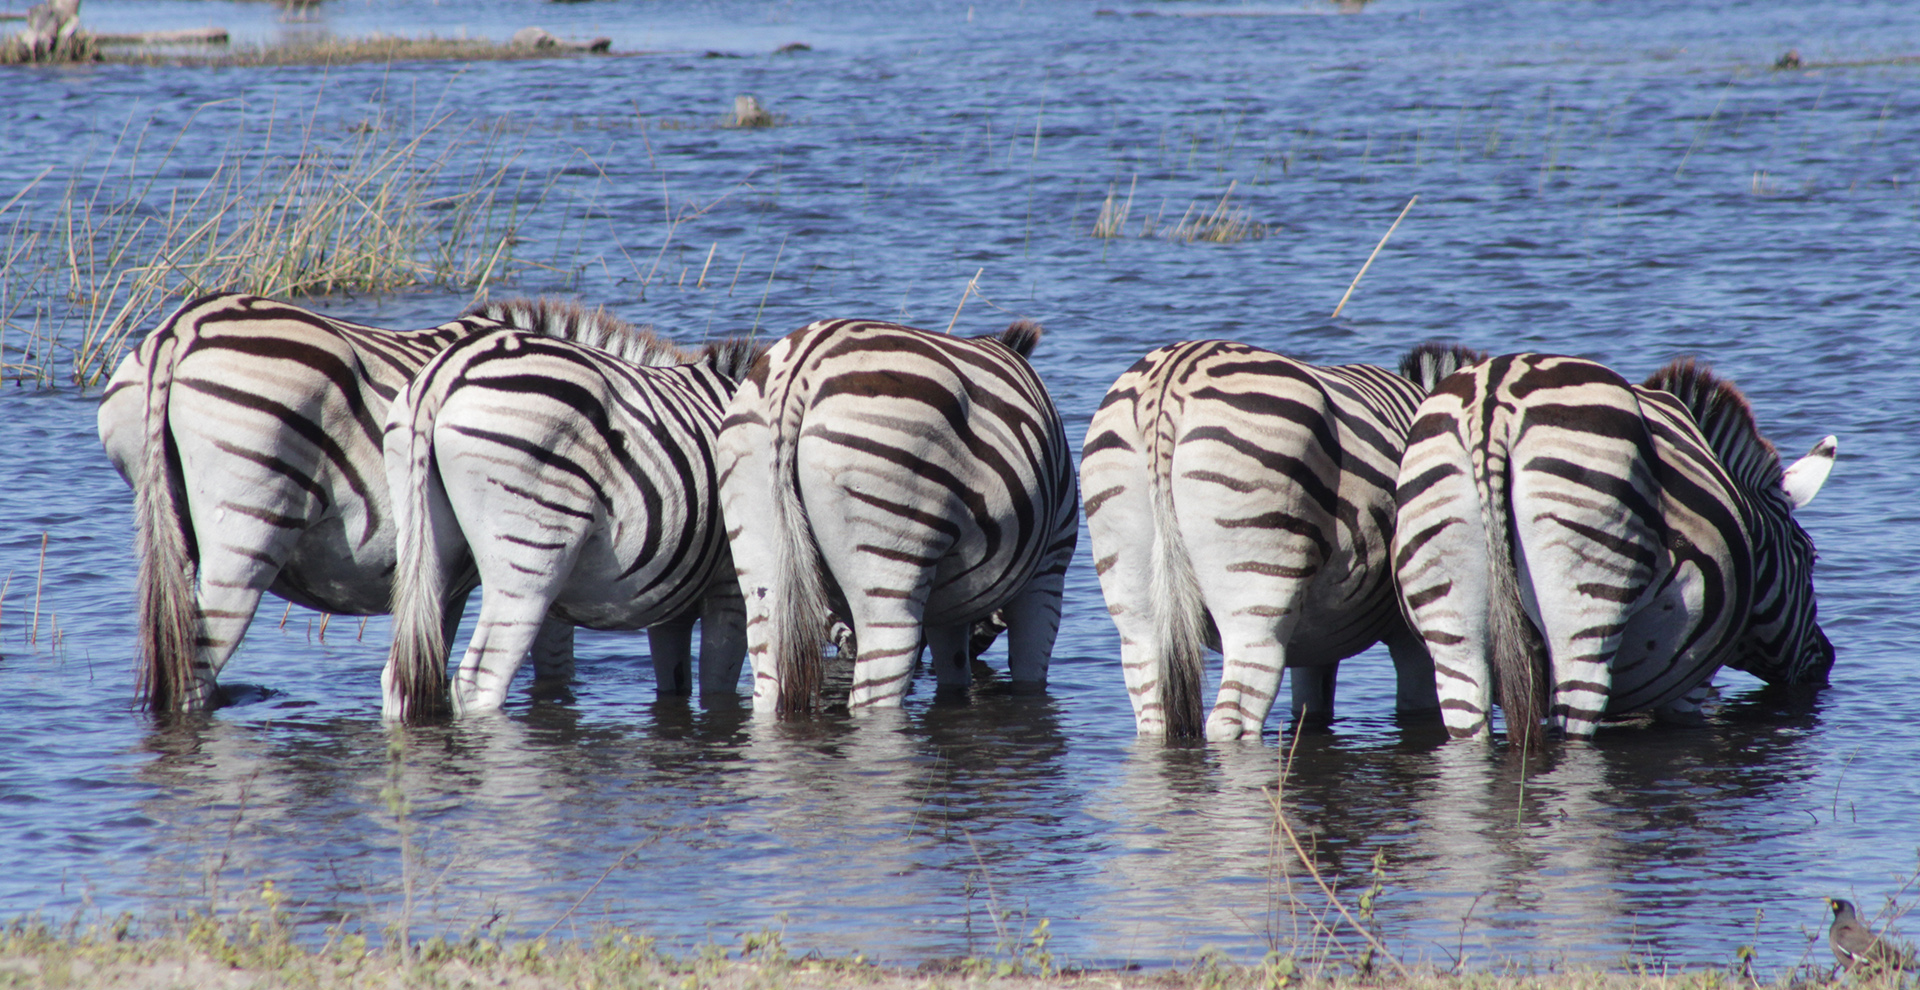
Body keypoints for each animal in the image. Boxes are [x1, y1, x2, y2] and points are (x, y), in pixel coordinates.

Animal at [381, 300, 762, 720]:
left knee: (403, 676)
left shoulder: (671, 605)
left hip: (430, 551)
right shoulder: (729, 586)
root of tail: (442, 377)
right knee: (478, 682)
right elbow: (718, 688)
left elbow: (676, 685)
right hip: (529, 561)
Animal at [716, 318, 1079, 714]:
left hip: (760, 550)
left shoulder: (949, 608)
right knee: (875, 690)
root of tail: (799, 373)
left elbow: (953, 677)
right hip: (889, 563)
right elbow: (1031, 679)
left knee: (768, 679)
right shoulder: (1048, 570)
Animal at [1080, 340, 1482, 741]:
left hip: (1132, 585)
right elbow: (1418, 706)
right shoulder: (1409, 634)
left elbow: (1311, 707)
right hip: (1257, 584)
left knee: (1152, 706)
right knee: (1233, 715)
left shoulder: (1318, 638)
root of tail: (1170, 382)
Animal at [1391, 352, 1837, 748]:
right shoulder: (1690, 681)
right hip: (1586, 596)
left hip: (1451, 619)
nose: (1828, 660)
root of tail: (1492, 406)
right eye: (1809, 556)